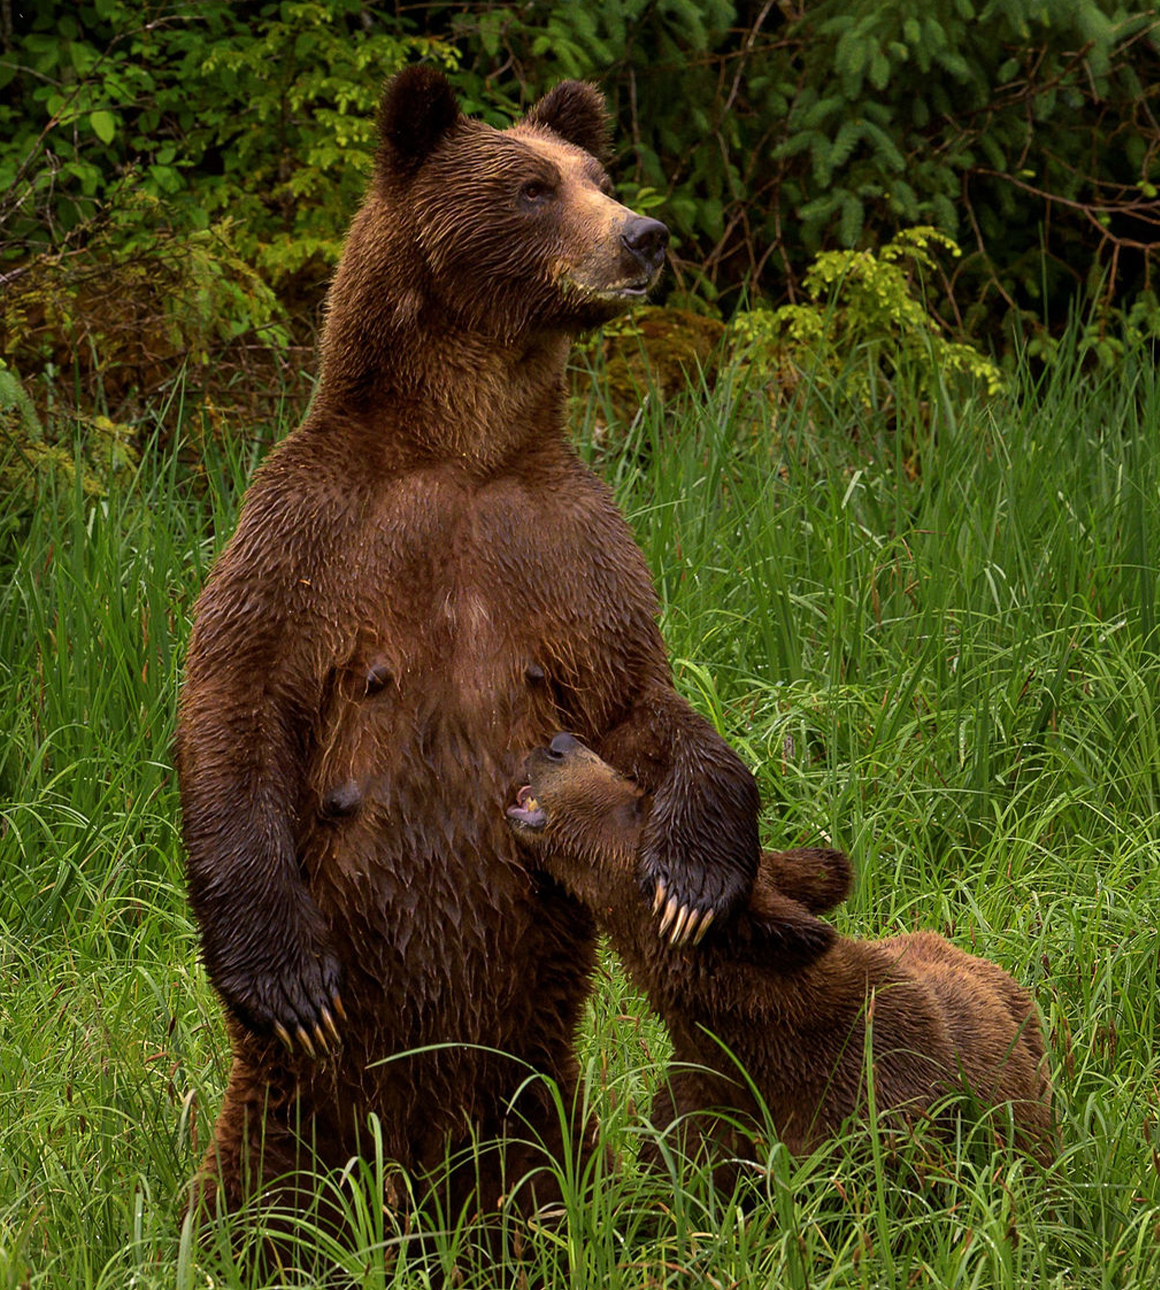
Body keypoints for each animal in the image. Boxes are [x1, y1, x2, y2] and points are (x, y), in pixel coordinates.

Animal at [176, 65, 763, 1233]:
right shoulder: (312, 533)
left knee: (540, 1171)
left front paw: (689, 876)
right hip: (293, 1108)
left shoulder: (565, 544)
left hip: (532, 1086)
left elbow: (638, 703)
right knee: (268, 1187)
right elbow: (234, 696)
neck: (461, 444)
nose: (644, 236)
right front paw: (287, 977)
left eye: (598, 174)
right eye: (534, 186)